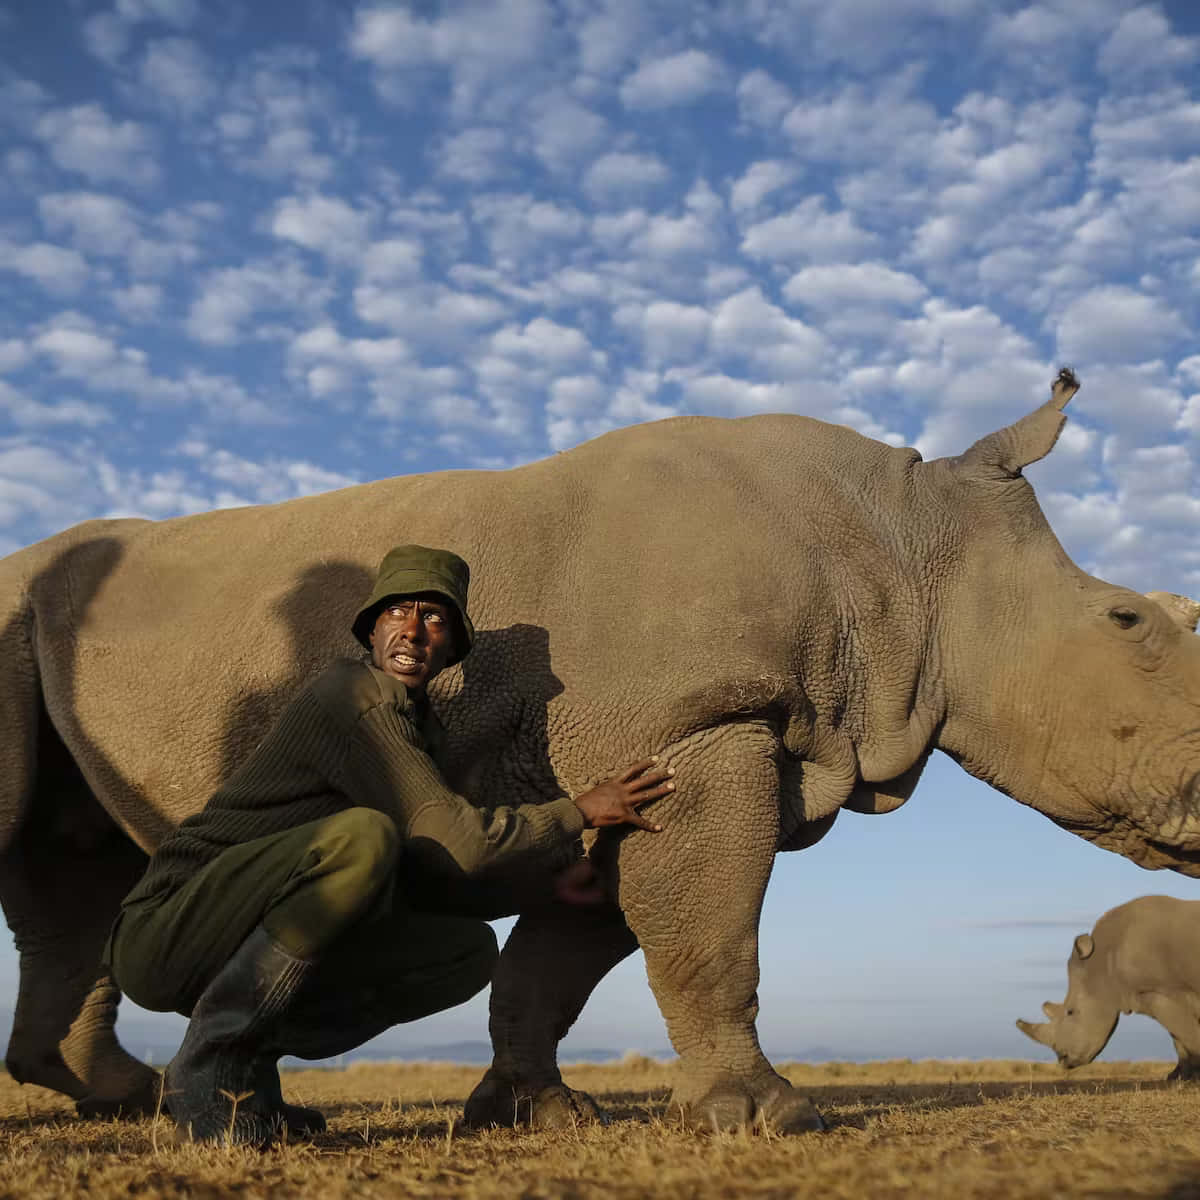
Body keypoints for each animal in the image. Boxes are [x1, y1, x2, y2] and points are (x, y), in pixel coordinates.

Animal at [1017, 895, 1200, 1080]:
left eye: (1071, 1012)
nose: (1063, 1060)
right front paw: (1177, 1078)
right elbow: (1179, 1038)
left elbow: (1186, 1034)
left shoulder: (1159, 992)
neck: (1104, 964)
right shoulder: (1160, 994)